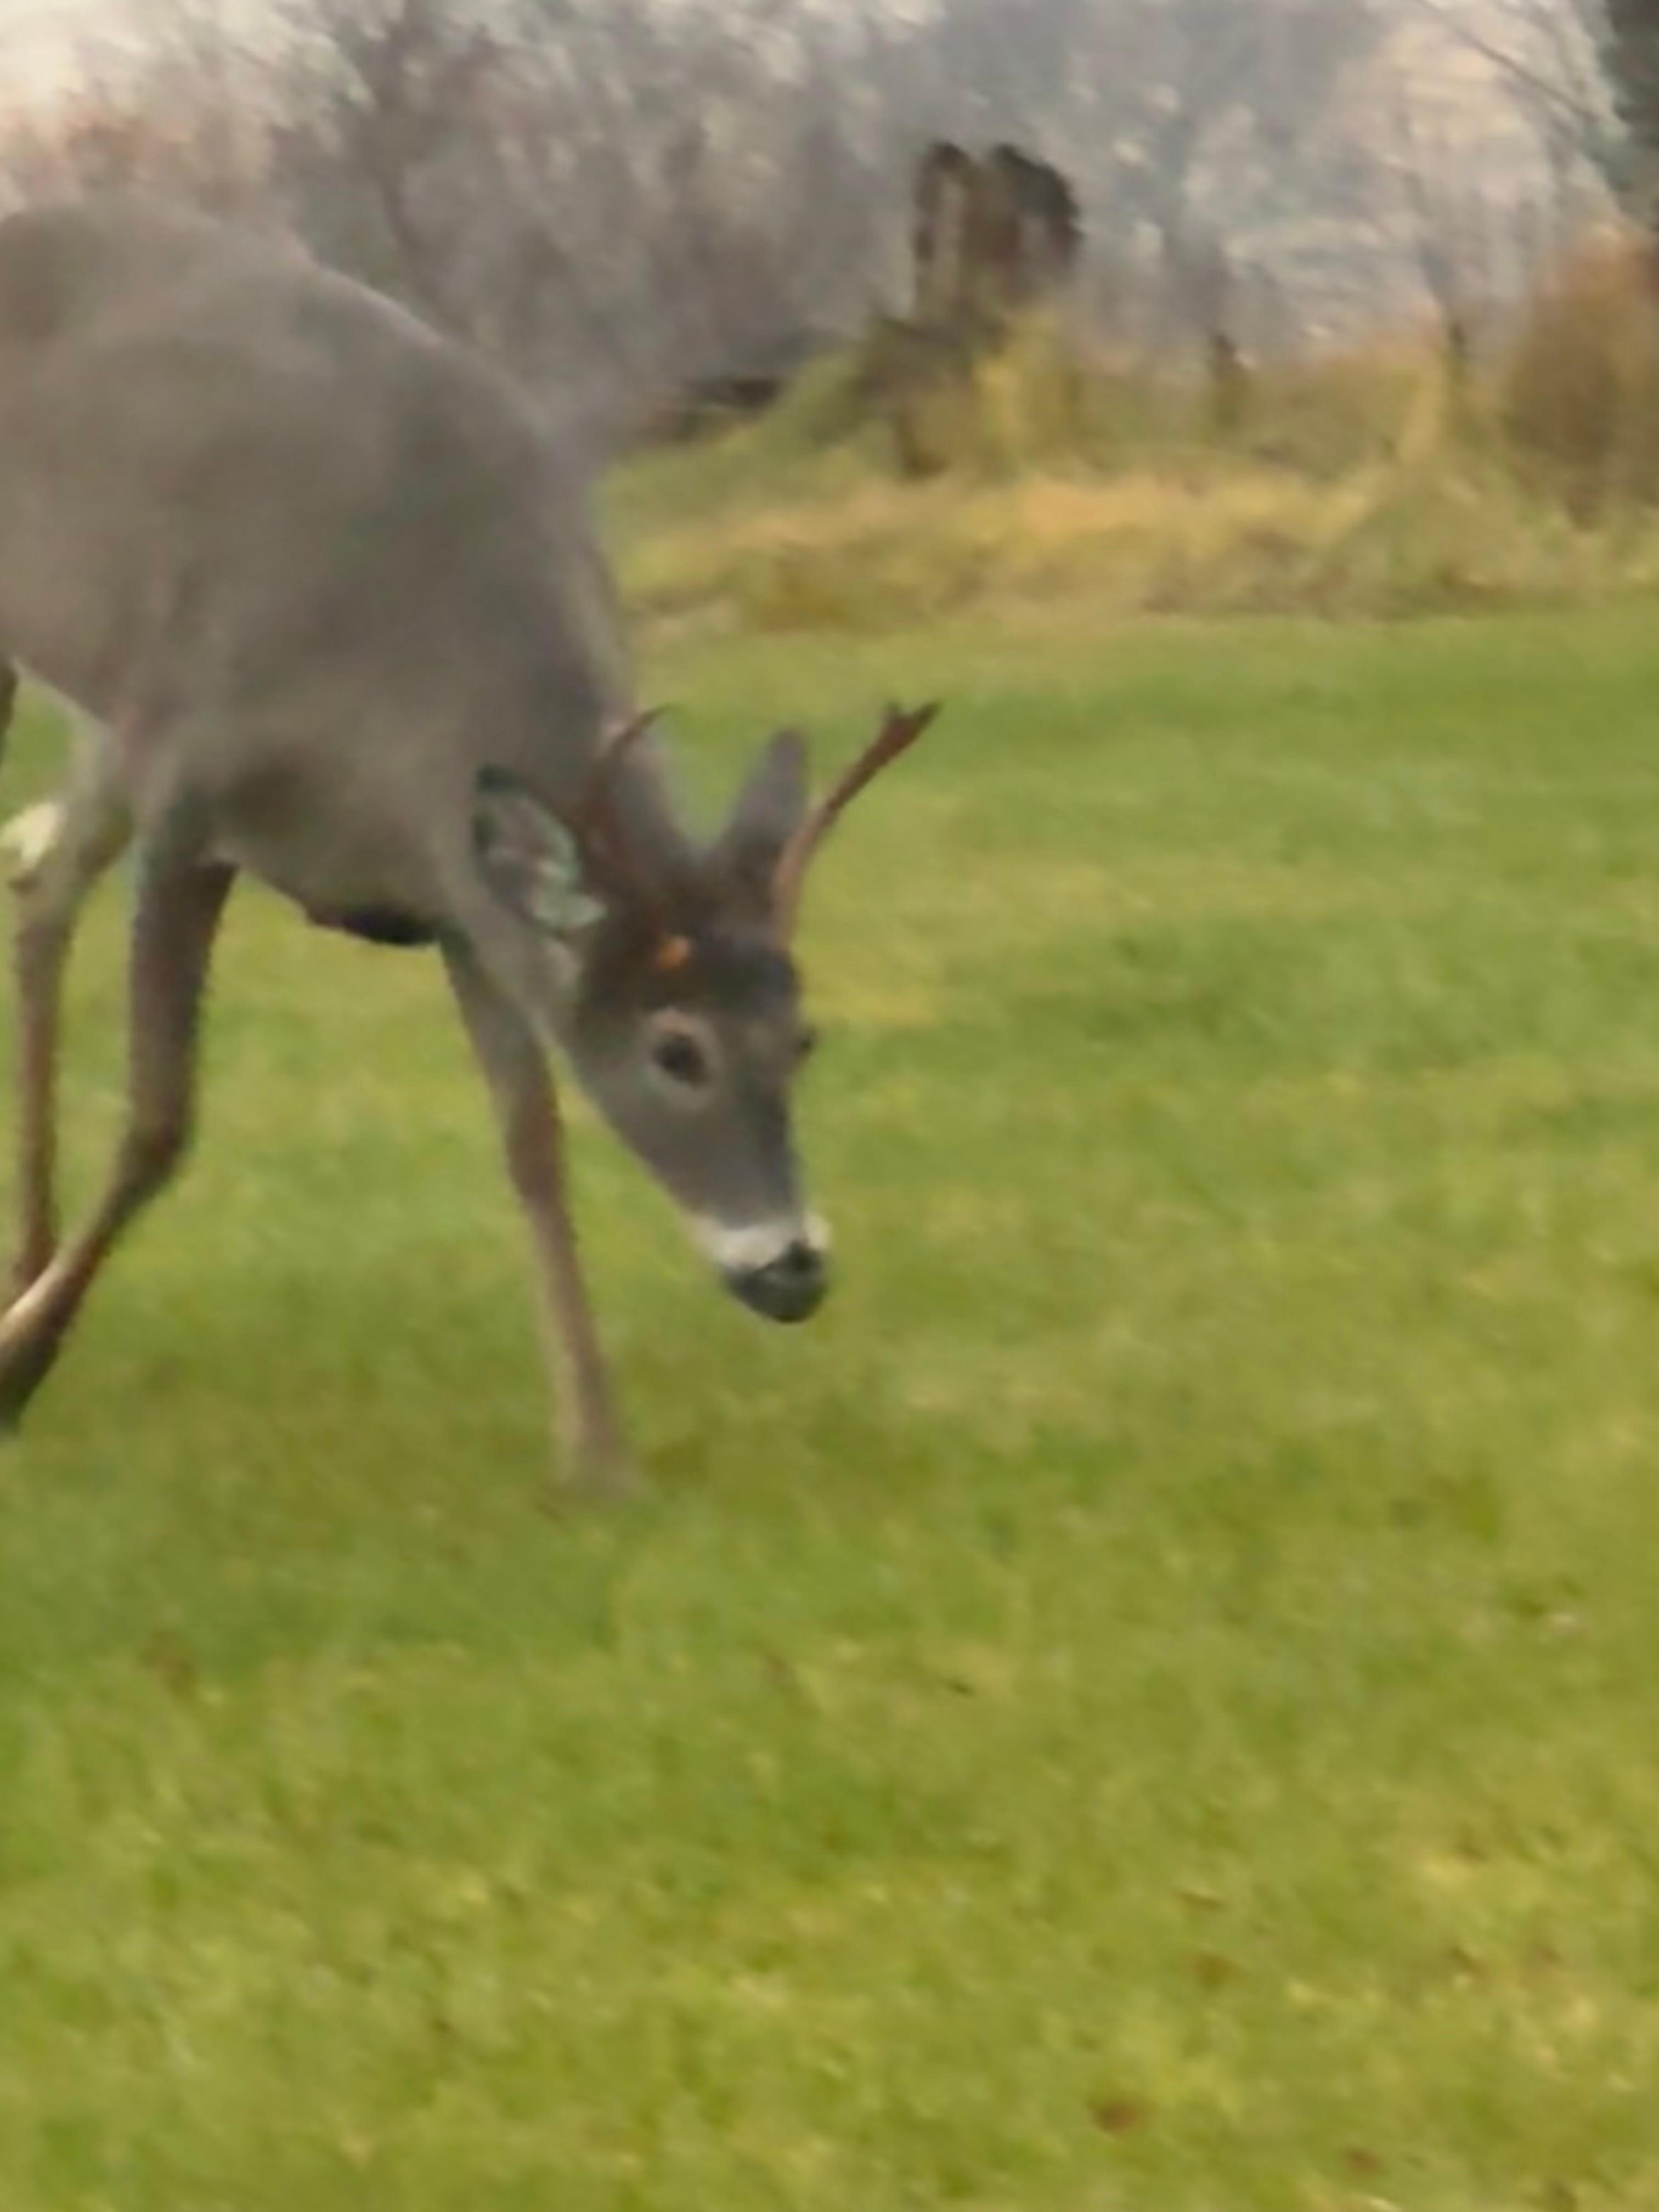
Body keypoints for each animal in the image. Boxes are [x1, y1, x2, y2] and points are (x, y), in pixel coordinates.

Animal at [0, 194, 939, 1500]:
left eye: (800, 1036)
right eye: (677, 1049)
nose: (792, 1269)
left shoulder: (455, 895)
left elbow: (530, 1142)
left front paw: (594, 1450)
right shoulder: (194, 782)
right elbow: (157, 1117)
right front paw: (18, 1369)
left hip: (103, 723)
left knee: (40, 887)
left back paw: (25, 1253)